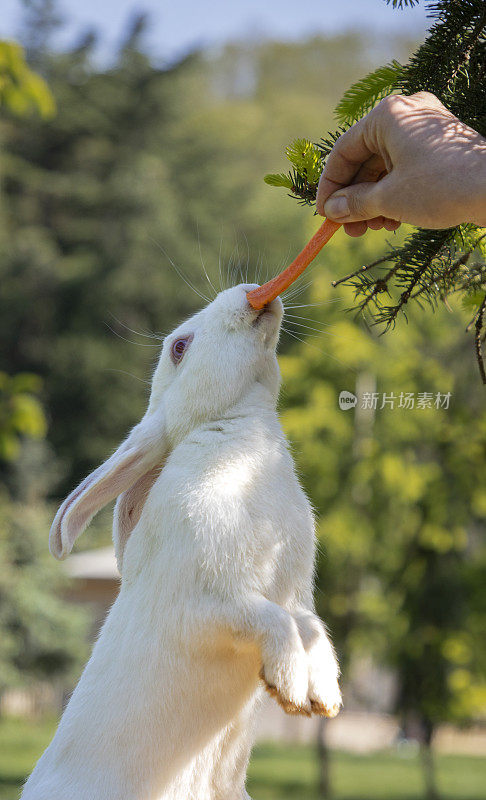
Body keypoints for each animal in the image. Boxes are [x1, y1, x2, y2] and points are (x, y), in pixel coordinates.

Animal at [21, 284, 342, 800]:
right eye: (179, 347)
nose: (250, 293)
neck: (232, 428)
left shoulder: (296, 596)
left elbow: (314, 628)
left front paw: (325, 696)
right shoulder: (212, 603)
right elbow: (270, 618)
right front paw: (291, 688)